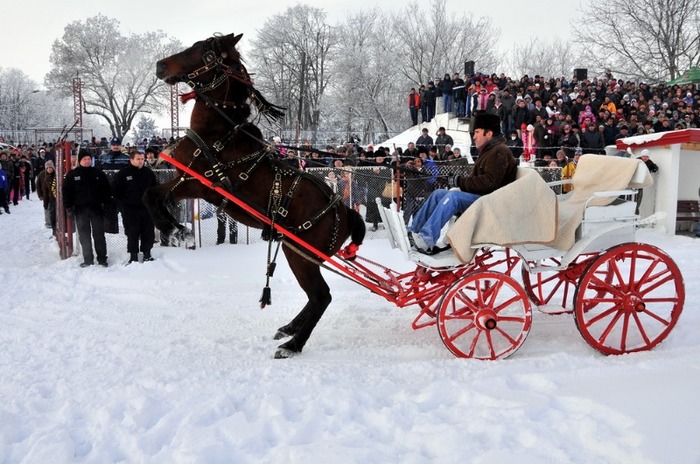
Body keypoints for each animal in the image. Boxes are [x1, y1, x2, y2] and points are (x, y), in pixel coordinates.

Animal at [147, 33, 366, 358]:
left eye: (202, 50)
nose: (161, 65)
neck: (218, 134)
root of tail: (347, 211)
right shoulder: (183, 179)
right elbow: (154, 195)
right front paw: (176, 229)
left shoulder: (195, 183)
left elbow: (151, 196)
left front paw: (176, 230)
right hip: (301, 253)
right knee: (315, 298)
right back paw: (289, 329)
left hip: (299, 254)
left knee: (321, 297)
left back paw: (292, 345)